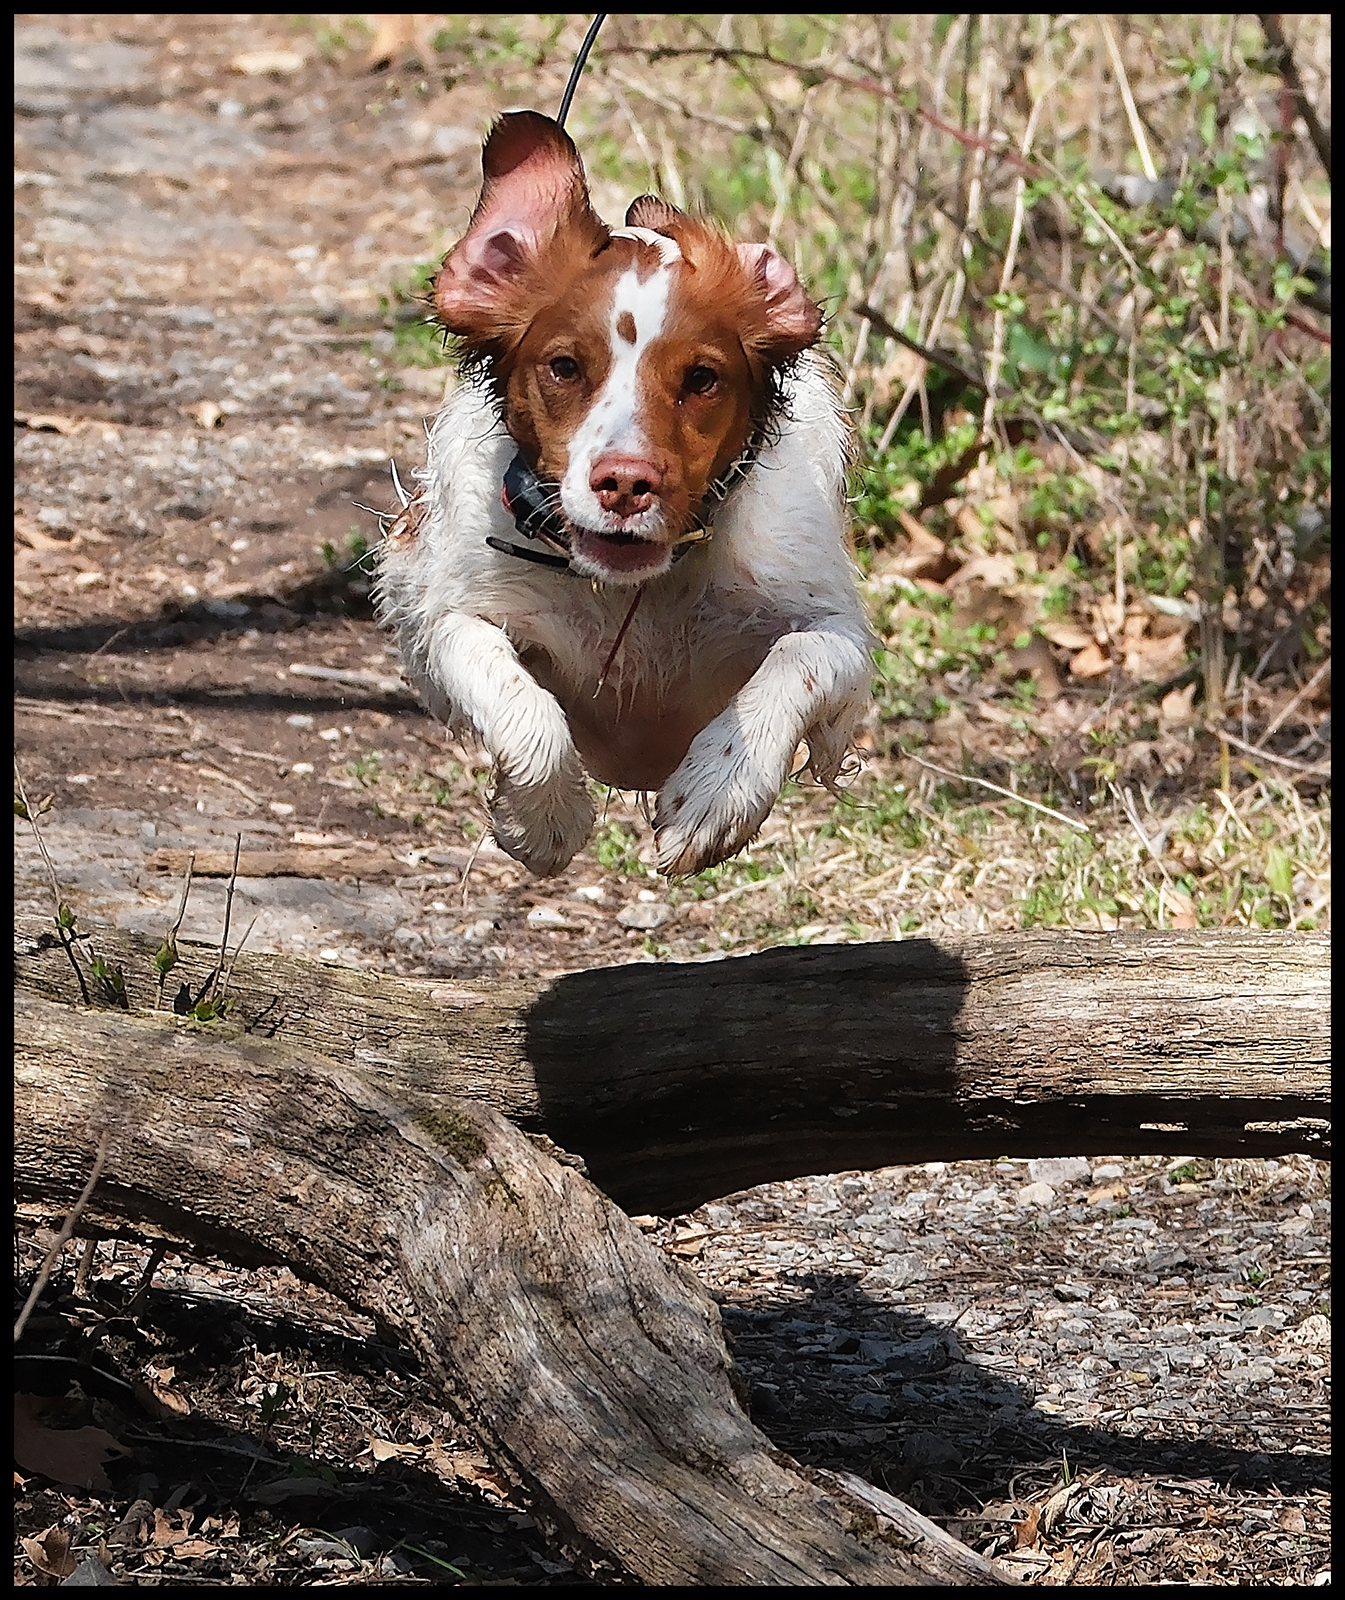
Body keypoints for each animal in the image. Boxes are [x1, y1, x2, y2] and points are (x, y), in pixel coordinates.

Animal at [376, 110, 873, 877]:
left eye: (701, 378)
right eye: (563, 367)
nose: (628, 482)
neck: (640, 590)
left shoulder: (833, 624)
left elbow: (798, 660)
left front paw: (715, 795)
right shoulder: (452, 616)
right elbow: (519, 704)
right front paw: (543, 822)